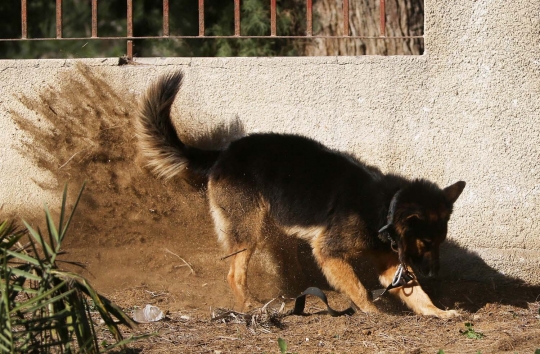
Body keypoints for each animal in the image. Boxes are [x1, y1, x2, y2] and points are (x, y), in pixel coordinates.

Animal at [135, 71, 464, 318]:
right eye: (426, 242)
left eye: (439, 242)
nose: (435, 274)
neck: (385, 207)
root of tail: (224, 152)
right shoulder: (329, 253)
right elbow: (358, 288)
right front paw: (373, 312)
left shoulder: (389, 265)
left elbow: (416, 293)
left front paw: (438, 312)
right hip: (248, 229)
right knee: (234, 274)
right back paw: (248, 305)